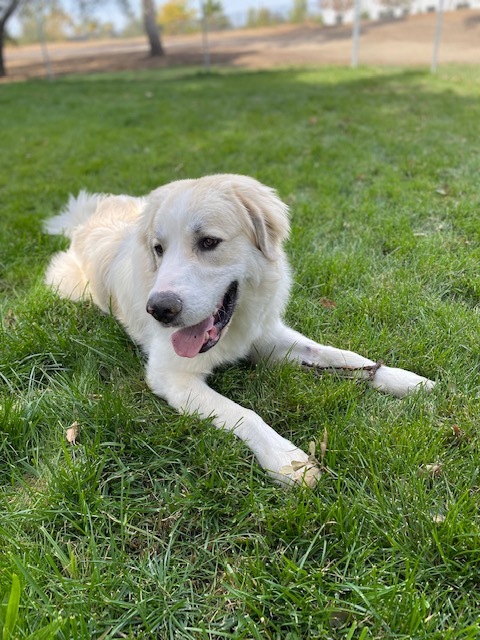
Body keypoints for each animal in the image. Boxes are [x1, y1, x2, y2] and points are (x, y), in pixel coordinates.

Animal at [46, 174, 436, 484]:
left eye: (208, 242)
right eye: (158, 249)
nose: (159, 310)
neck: (233, 328)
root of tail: (86, 220)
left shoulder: (267, 337)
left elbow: (341, 355)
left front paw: (404, 380)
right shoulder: (171, 375)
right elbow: (244, 414)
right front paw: (288, 461)